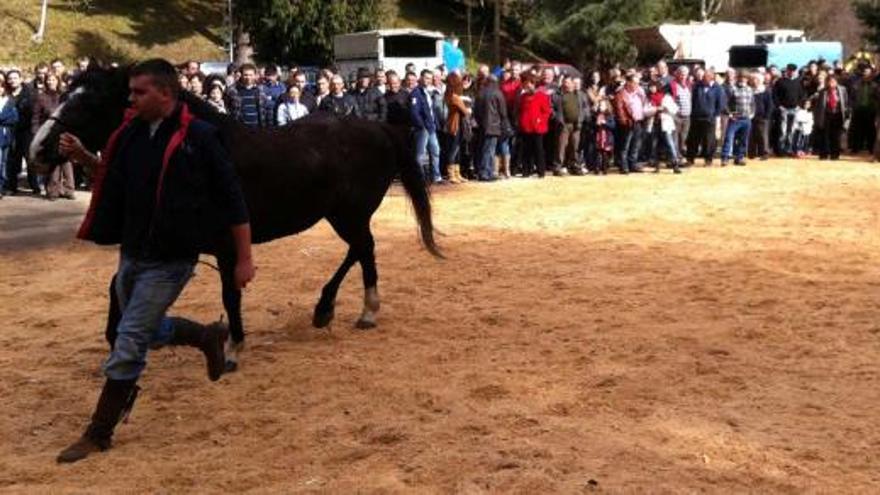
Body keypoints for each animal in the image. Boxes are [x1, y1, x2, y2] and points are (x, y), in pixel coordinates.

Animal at [31, 67, 444, 372]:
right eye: (65, 93)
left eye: (91, 100)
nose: (39, 148)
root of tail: (379, 128)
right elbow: (119, 284)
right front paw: (116, 339)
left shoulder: (226, 245)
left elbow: (230, 294)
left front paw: (233, 348)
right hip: (345, 215)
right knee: (364, 250)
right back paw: (357, 311)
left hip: (349, 214)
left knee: (362, 248)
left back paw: (335, 309)